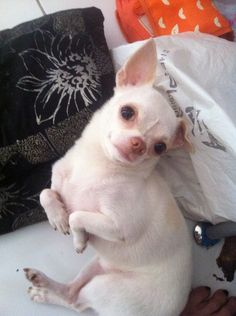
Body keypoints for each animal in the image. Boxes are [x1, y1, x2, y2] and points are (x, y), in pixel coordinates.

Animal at [24, 40, 193, 316]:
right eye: (127, 112)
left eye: (159, 148)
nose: (138, 144)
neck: (98, 166)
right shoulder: (58, 182)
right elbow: (46, 193)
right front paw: (57, 216)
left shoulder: (119, 228)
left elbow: (77, 215)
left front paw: (78, 236)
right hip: (97, 266)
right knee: (71, 293)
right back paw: (42, 286)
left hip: (104, 287)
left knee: (77, 303)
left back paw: (45, 291)